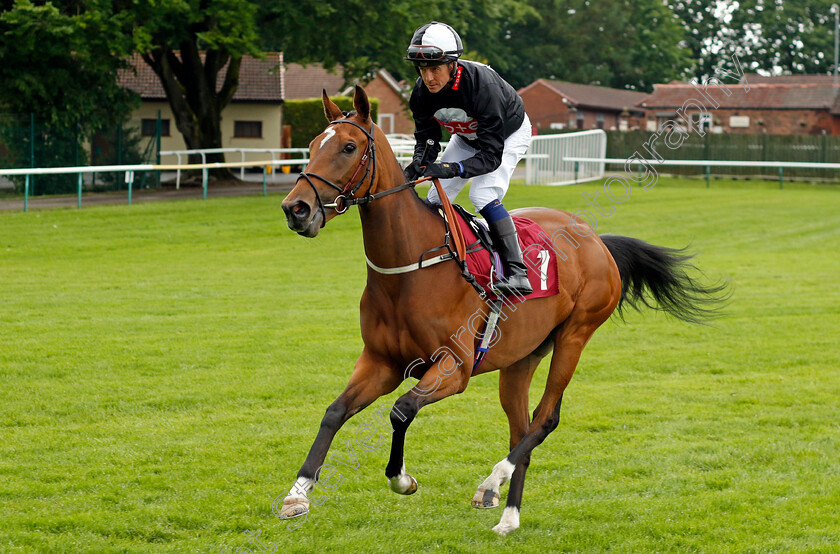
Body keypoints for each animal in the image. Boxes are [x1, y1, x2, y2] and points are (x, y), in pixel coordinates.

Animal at [278, 85, 724, 532]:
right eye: (312, 146)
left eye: (349, 147)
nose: (295, 208)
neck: (407, 271)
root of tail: (596, 239)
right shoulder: (381, 362)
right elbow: (335, 412)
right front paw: (297, 494)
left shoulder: (453, 369)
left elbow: (401, 411)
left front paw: (401, 479)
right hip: (521, 358)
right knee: (520, 427)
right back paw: (508, 513)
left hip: (575, 336)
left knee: (545, 420)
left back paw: (492, 481)